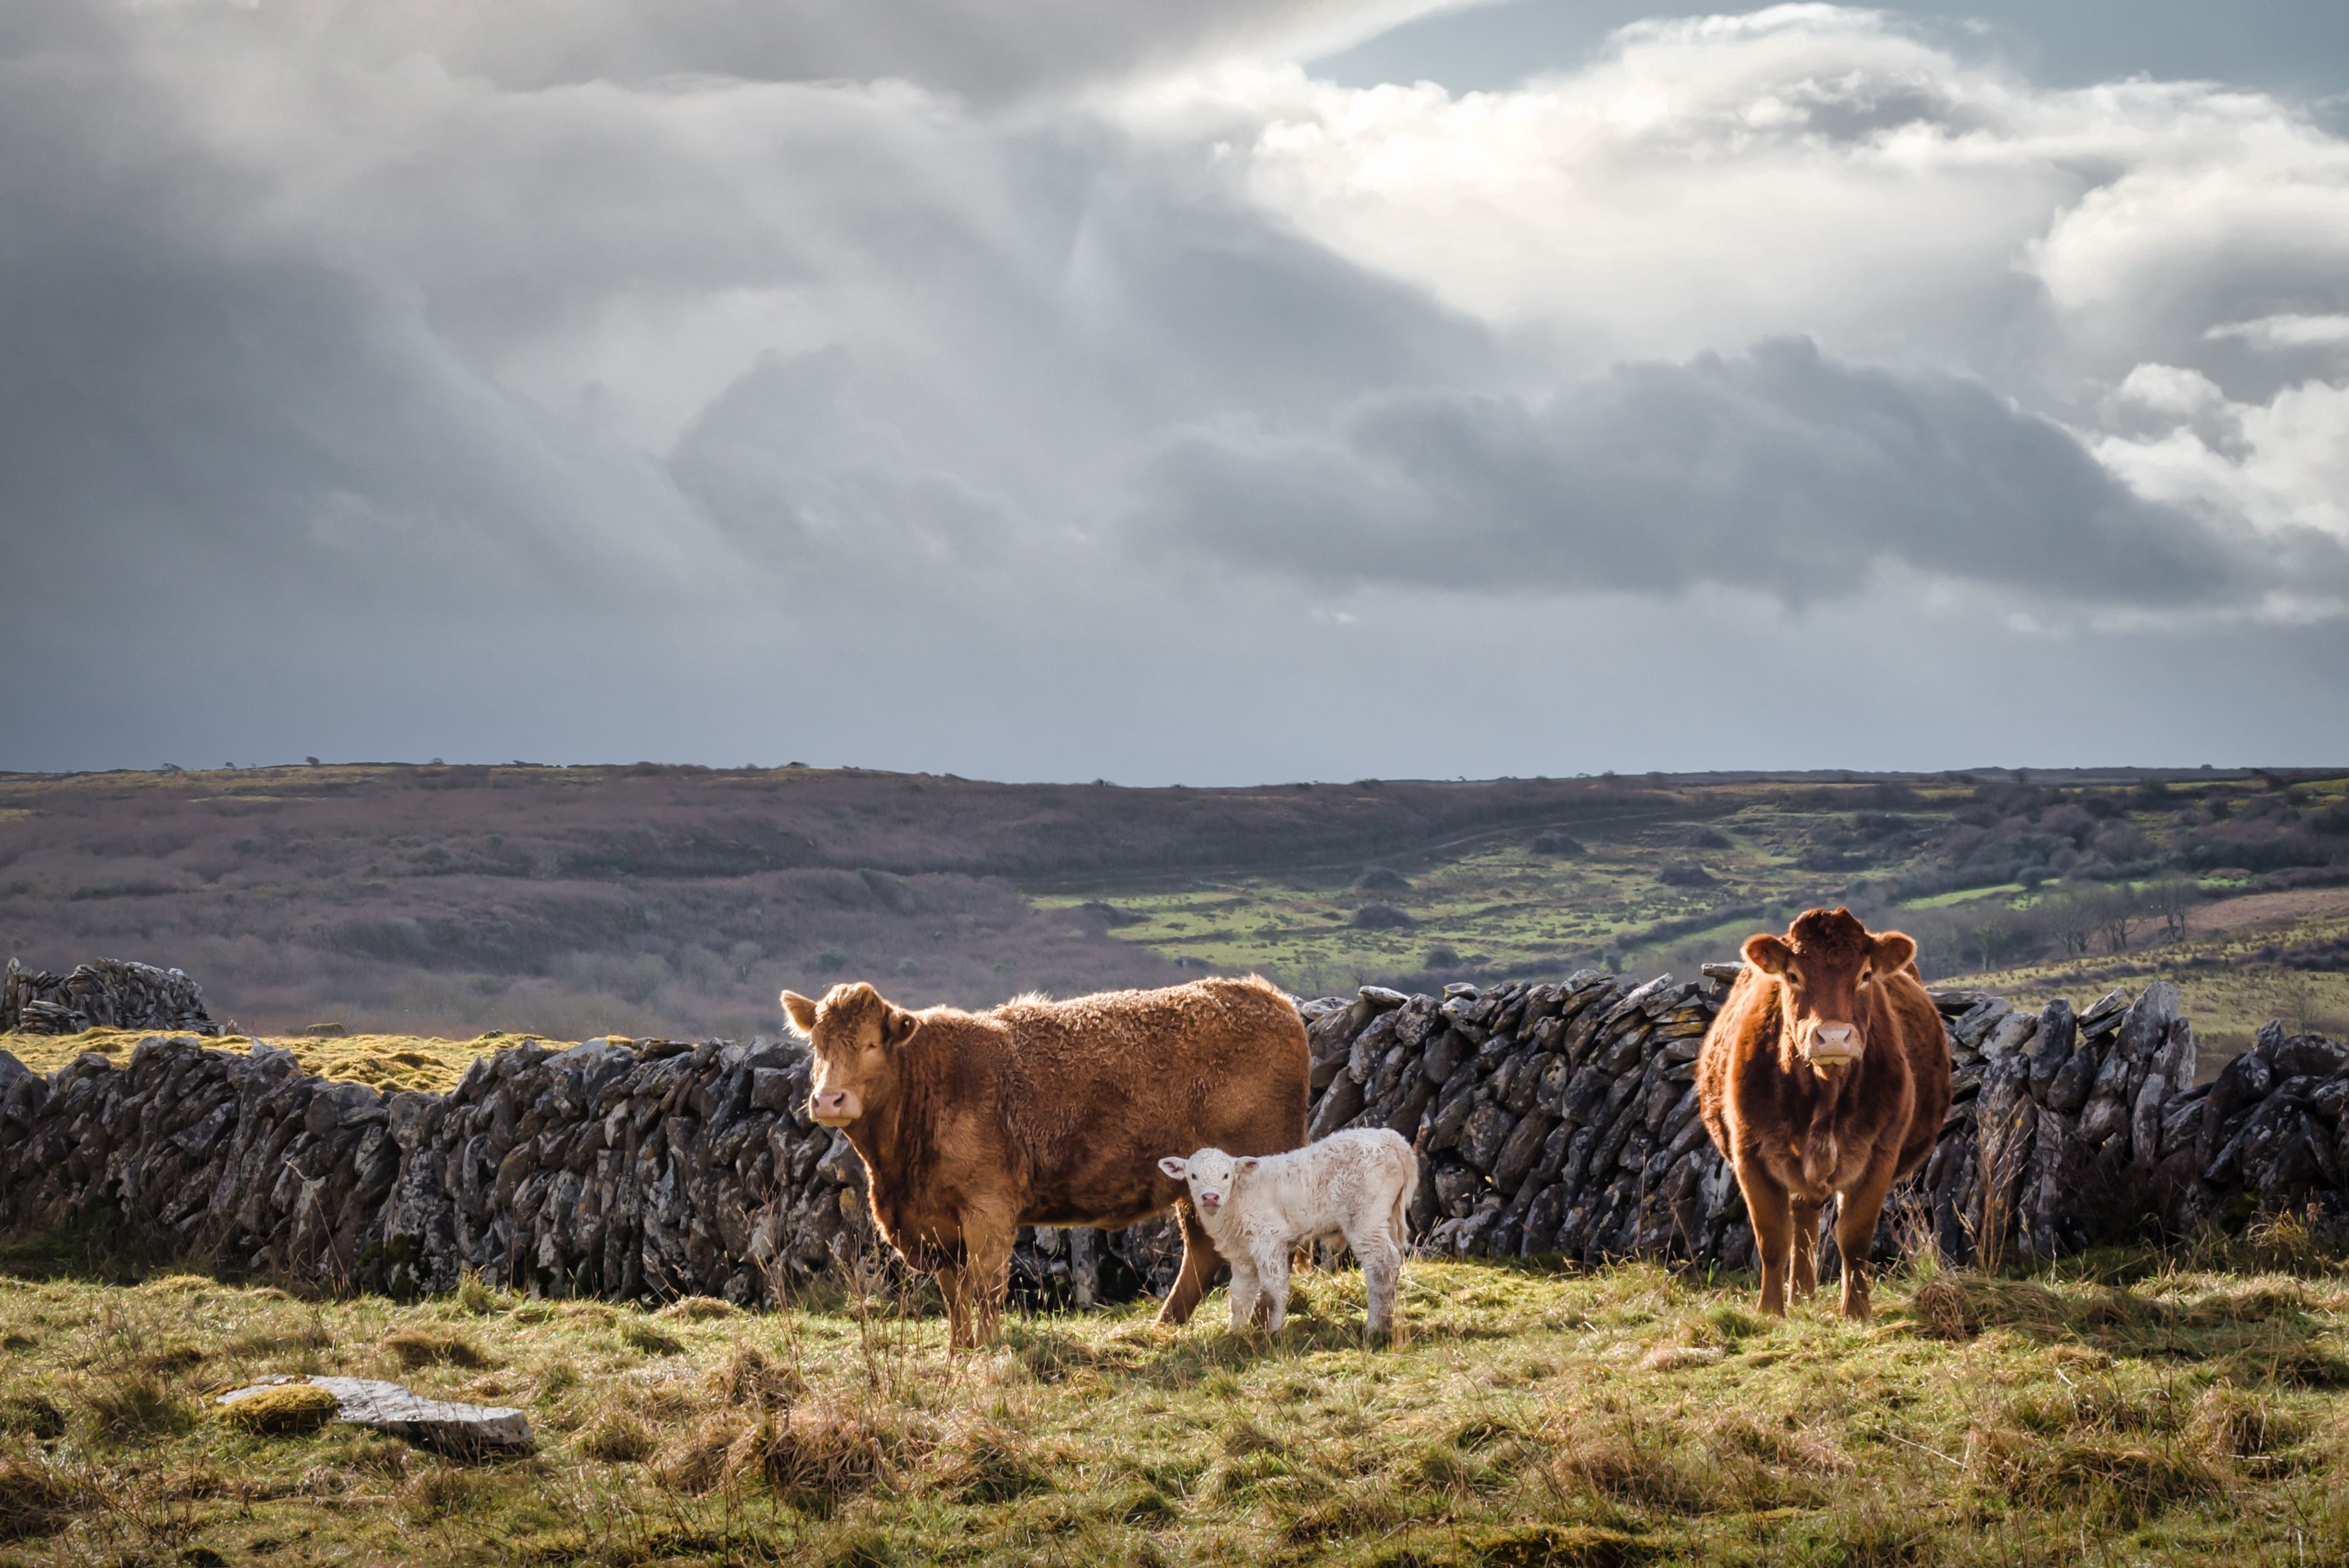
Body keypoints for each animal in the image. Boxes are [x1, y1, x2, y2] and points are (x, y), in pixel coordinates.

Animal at [781, 975, 1309, 1347]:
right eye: (818, 1045)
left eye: (872, 1044)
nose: (828, 1100)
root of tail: (1270, 998)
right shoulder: (934, 1226)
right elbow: (954, 1292)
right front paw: (959, 1347)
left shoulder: (988, 1209)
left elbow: (986, 1285)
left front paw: (988, 1346)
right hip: (1195, 1186)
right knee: (1202, 1253)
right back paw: (1165, 1326)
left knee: (1265, 1252)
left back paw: (1258, 1323)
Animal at [1158, 1127, 1418, 1340]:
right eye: (1193, 1176)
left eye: (1226, 1175)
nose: (1210, 1197)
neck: (1236, 1199)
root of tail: (1395, 1142)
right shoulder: (1242, 1254)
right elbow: (1240, 1294)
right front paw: (1235, 1333)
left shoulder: (1268, 1238)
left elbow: (1273, 1288)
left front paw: (1273, 1331)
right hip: (1389, 1217)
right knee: (1393, 1261)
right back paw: (1387, 1320)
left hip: (1365, 1216)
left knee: (1381, 1261)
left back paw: (1376, 1327)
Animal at [1696, 907, 1950, 1320]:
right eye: (1793, 976)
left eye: (1865, 975)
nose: (1833, 1037)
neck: (1824, 1093)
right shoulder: (1748, 1152)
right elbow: (1772, 1238)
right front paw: (1770, 1311)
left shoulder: (1880, 1153)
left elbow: (1855, 1238)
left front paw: (1856, 1311)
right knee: (1802, 1221)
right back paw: (1799, 1294)